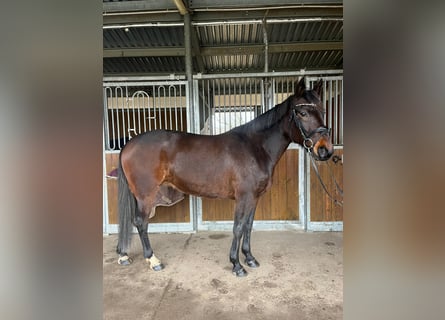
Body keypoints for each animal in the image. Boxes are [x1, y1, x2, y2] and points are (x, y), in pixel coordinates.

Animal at [116, 77, 332, 276]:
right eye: (302, 113)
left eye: (323, 111)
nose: (325, 150)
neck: (255, 147)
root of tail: (128, 145)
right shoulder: (243, 197)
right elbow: (238, 227)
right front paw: (237, 265)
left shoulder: (254, 198)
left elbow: (248, 226)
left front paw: (250, 258)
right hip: (146, 196)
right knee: (141, 222)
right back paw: (153, 260)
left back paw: (123, 255)